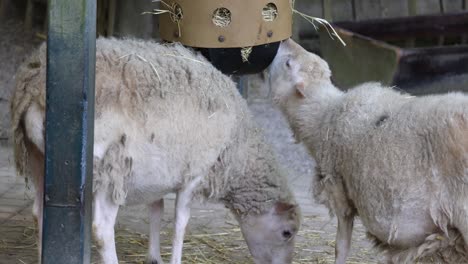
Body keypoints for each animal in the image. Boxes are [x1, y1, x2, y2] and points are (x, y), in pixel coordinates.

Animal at [11, 38, 304, 264]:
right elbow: (179, 223)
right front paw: (174, 258)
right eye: (287, 233)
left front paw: (154, 257)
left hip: (40, 159)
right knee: (101, 229)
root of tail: (36, 89)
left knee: (39, 213)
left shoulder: (159, 173)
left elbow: (156, 210)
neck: (239, 147)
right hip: (110, 168)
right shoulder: (195, 173)